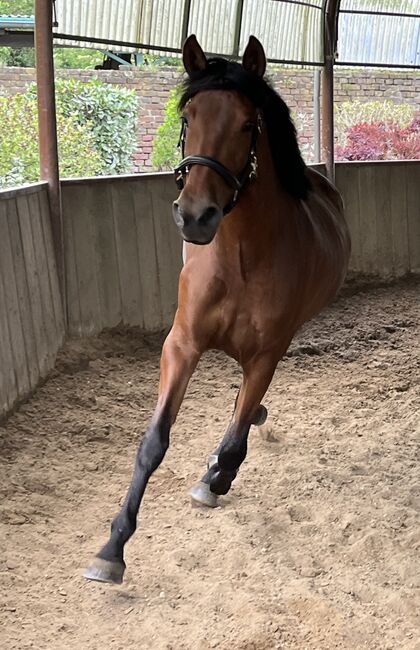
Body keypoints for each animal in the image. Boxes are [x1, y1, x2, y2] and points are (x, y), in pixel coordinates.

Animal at [83, 34, 350, 584]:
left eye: (249, 124)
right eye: (188, 117)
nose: (195, 216)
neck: (241, 259)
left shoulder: (267, 355)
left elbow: (234, 441)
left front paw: (215, 480)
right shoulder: (182, 346)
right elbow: (153, 442)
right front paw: (112, 549)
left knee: (242, 415)